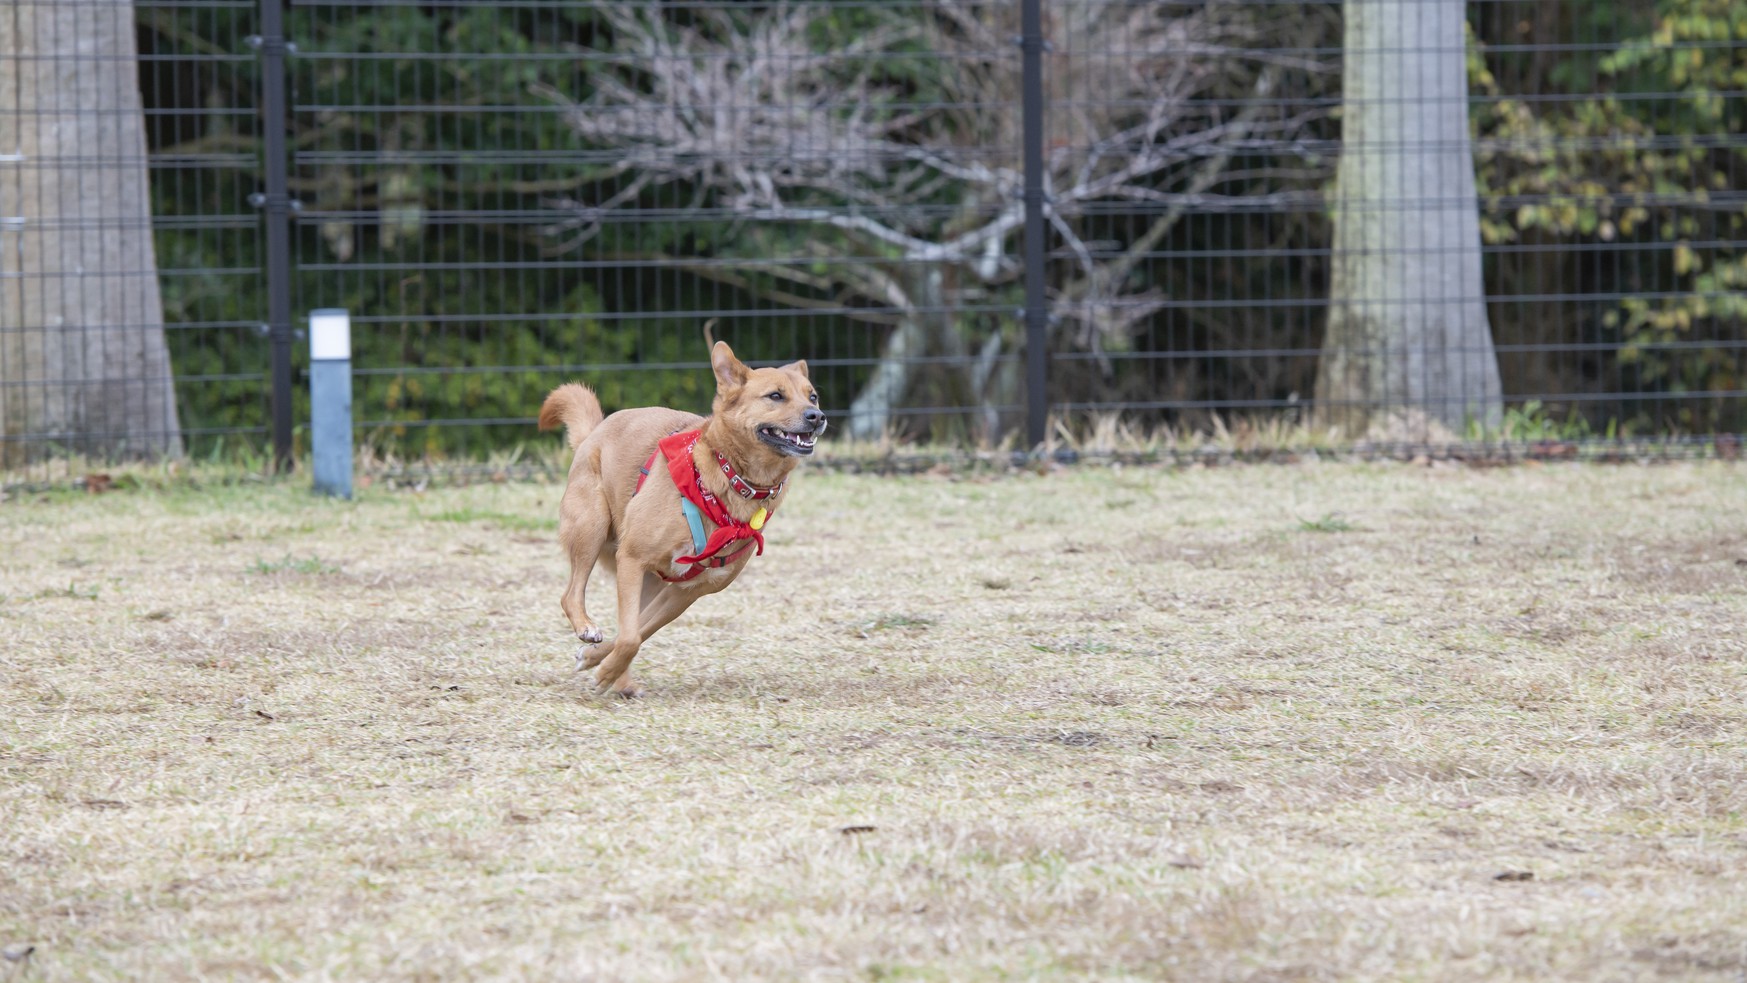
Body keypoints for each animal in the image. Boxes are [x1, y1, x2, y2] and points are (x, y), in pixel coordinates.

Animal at [538, 342, 824, 694]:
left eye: (812, 397)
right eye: (775, 396)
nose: (817, 416)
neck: (727, 480)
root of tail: (595, 431)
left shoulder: (683, 592)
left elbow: (634, 634)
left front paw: (599, 665)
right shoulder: (632, 558)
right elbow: (630, 637)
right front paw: (601, 667)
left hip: (647, 581)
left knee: (625, 623)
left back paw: (620, 681)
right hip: (591, 527)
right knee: (571, 594)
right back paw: (587, 629)